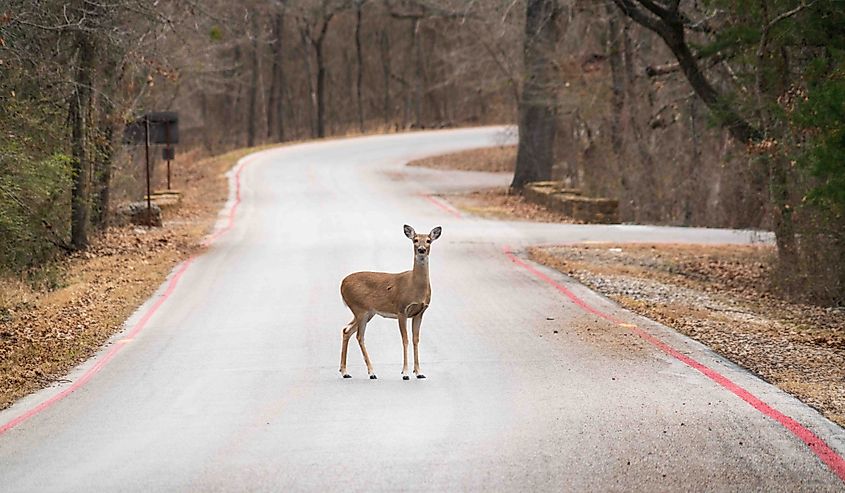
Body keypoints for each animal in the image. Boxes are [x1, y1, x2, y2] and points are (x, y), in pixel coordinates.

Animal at [338, 224, 442, 380]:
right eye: (415, 240)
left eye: (429, 240)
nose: (421, 249)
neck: (415, 287)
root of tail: (342, 283)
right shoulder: (401, 309)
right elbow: (405, 339)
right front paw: (405, 373)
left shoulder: (420, 312)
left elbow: (416, 339)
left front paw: (419, 372)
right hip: (359, 308)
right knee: (359, 336)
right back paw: (371, 372)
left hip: (367, 312)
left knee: (346, 330)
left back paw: (345, 371)